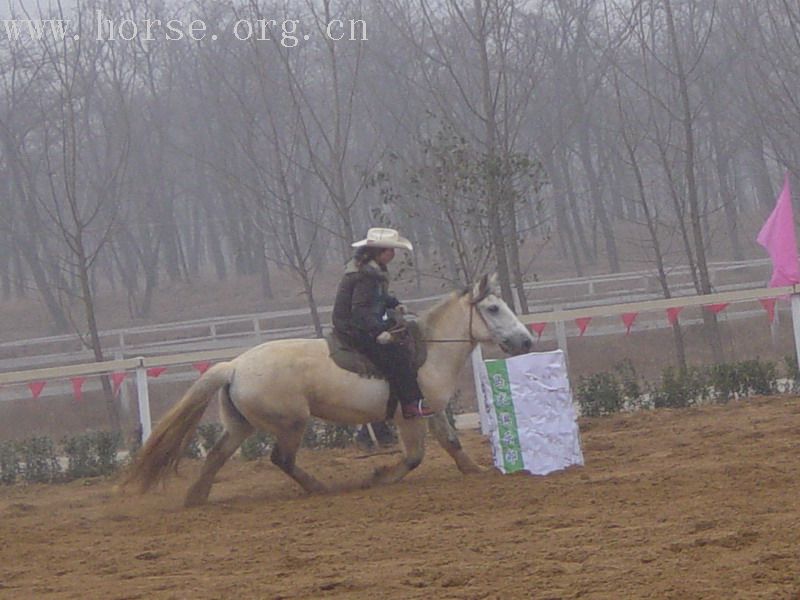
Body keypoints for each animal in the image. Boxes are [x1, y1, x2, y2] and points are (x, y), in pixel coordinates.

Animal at [122, 274, 536, 506]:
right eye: (494, 308)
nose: (527, 341)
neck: (427, 351)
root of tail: (234, 366)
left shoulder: (430, 409)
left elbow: (452, 443)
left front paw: (477, 470)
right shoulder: (409, 415)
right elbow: (415, 456)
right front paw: (379, 476)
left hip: (241, 425)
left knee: (217, 456)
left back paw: (196, 498)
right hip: (291, 423)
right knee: (281, 459)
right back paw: (320, 488)